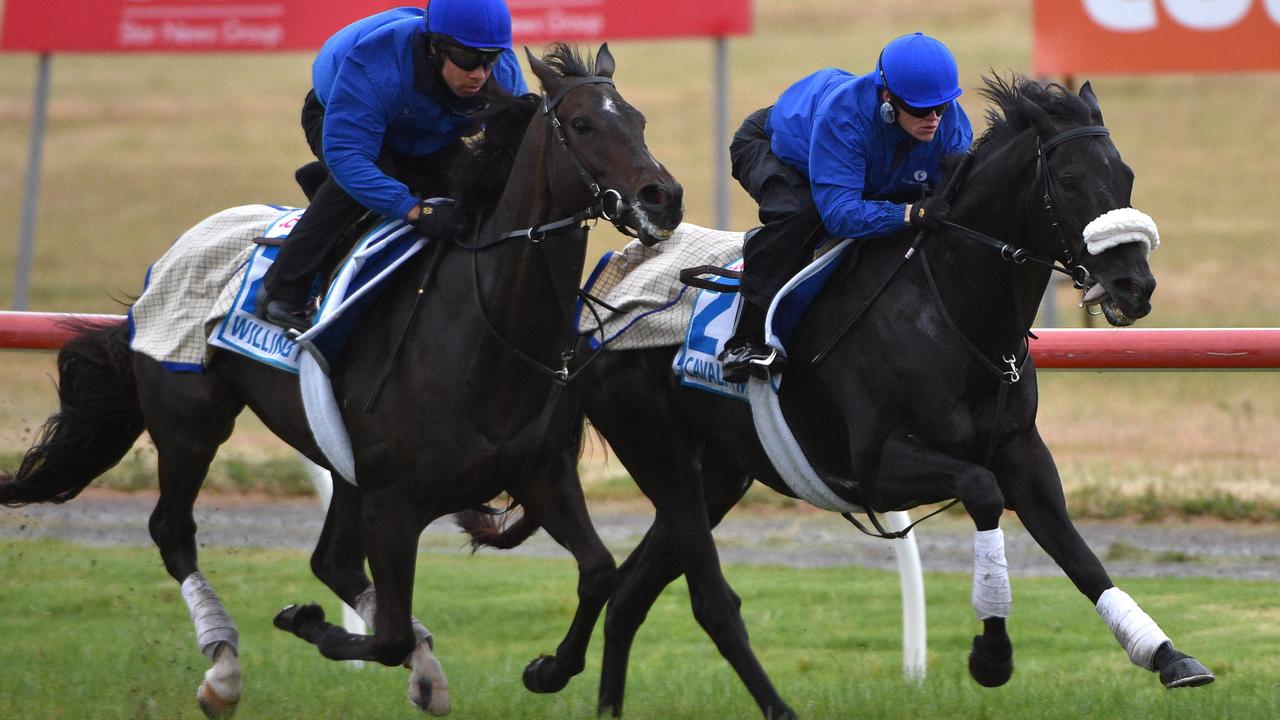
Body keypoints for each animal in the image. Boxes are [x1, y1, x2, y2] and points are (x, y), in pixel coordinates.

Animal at [2, 43, 680, 712]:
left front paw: (546, 668)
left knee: (332, 561)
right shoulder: (394, 501)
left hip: (342, 464)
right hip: (190, 420)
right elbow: (388, 634)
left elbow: (598, 571)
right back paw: (224, 669)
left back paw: (419, 670)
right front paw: (308, 623)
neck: (487, 330)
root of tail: (163, 265)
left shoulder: (539, 473)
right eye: (584, 124)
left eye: (641, 120)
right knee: (173, 531)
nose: (662, 197)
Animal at [468, 75, 1208, 712]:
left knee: (629, 593)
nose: (1134, 286)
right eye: (1072, 181)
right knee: (678, 593)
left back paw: (577, 682)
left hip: (717, 475)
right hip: (660, 453)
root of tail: (597, 305)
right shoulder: (877, 468)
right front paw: (991, 656)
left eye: (1126, 176)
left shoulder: (1024, 454)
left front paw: (1166, 655)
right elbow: (981, 492)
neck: (952, 310)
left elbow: (1079, 556)